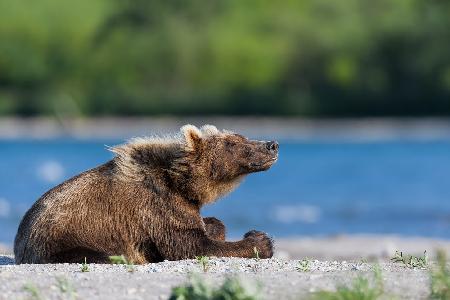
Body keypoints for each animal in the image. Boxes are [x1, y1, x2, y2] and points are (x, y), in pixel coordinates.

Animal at [13, 125, 278, 264]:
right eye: (233, 143)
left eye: (242, 136)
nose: (272, 144)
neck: (181, 183)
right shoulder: (156, 207)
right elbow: (189, 246)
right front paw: (260, 240)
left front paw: (214, 225)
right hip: (63, 241)